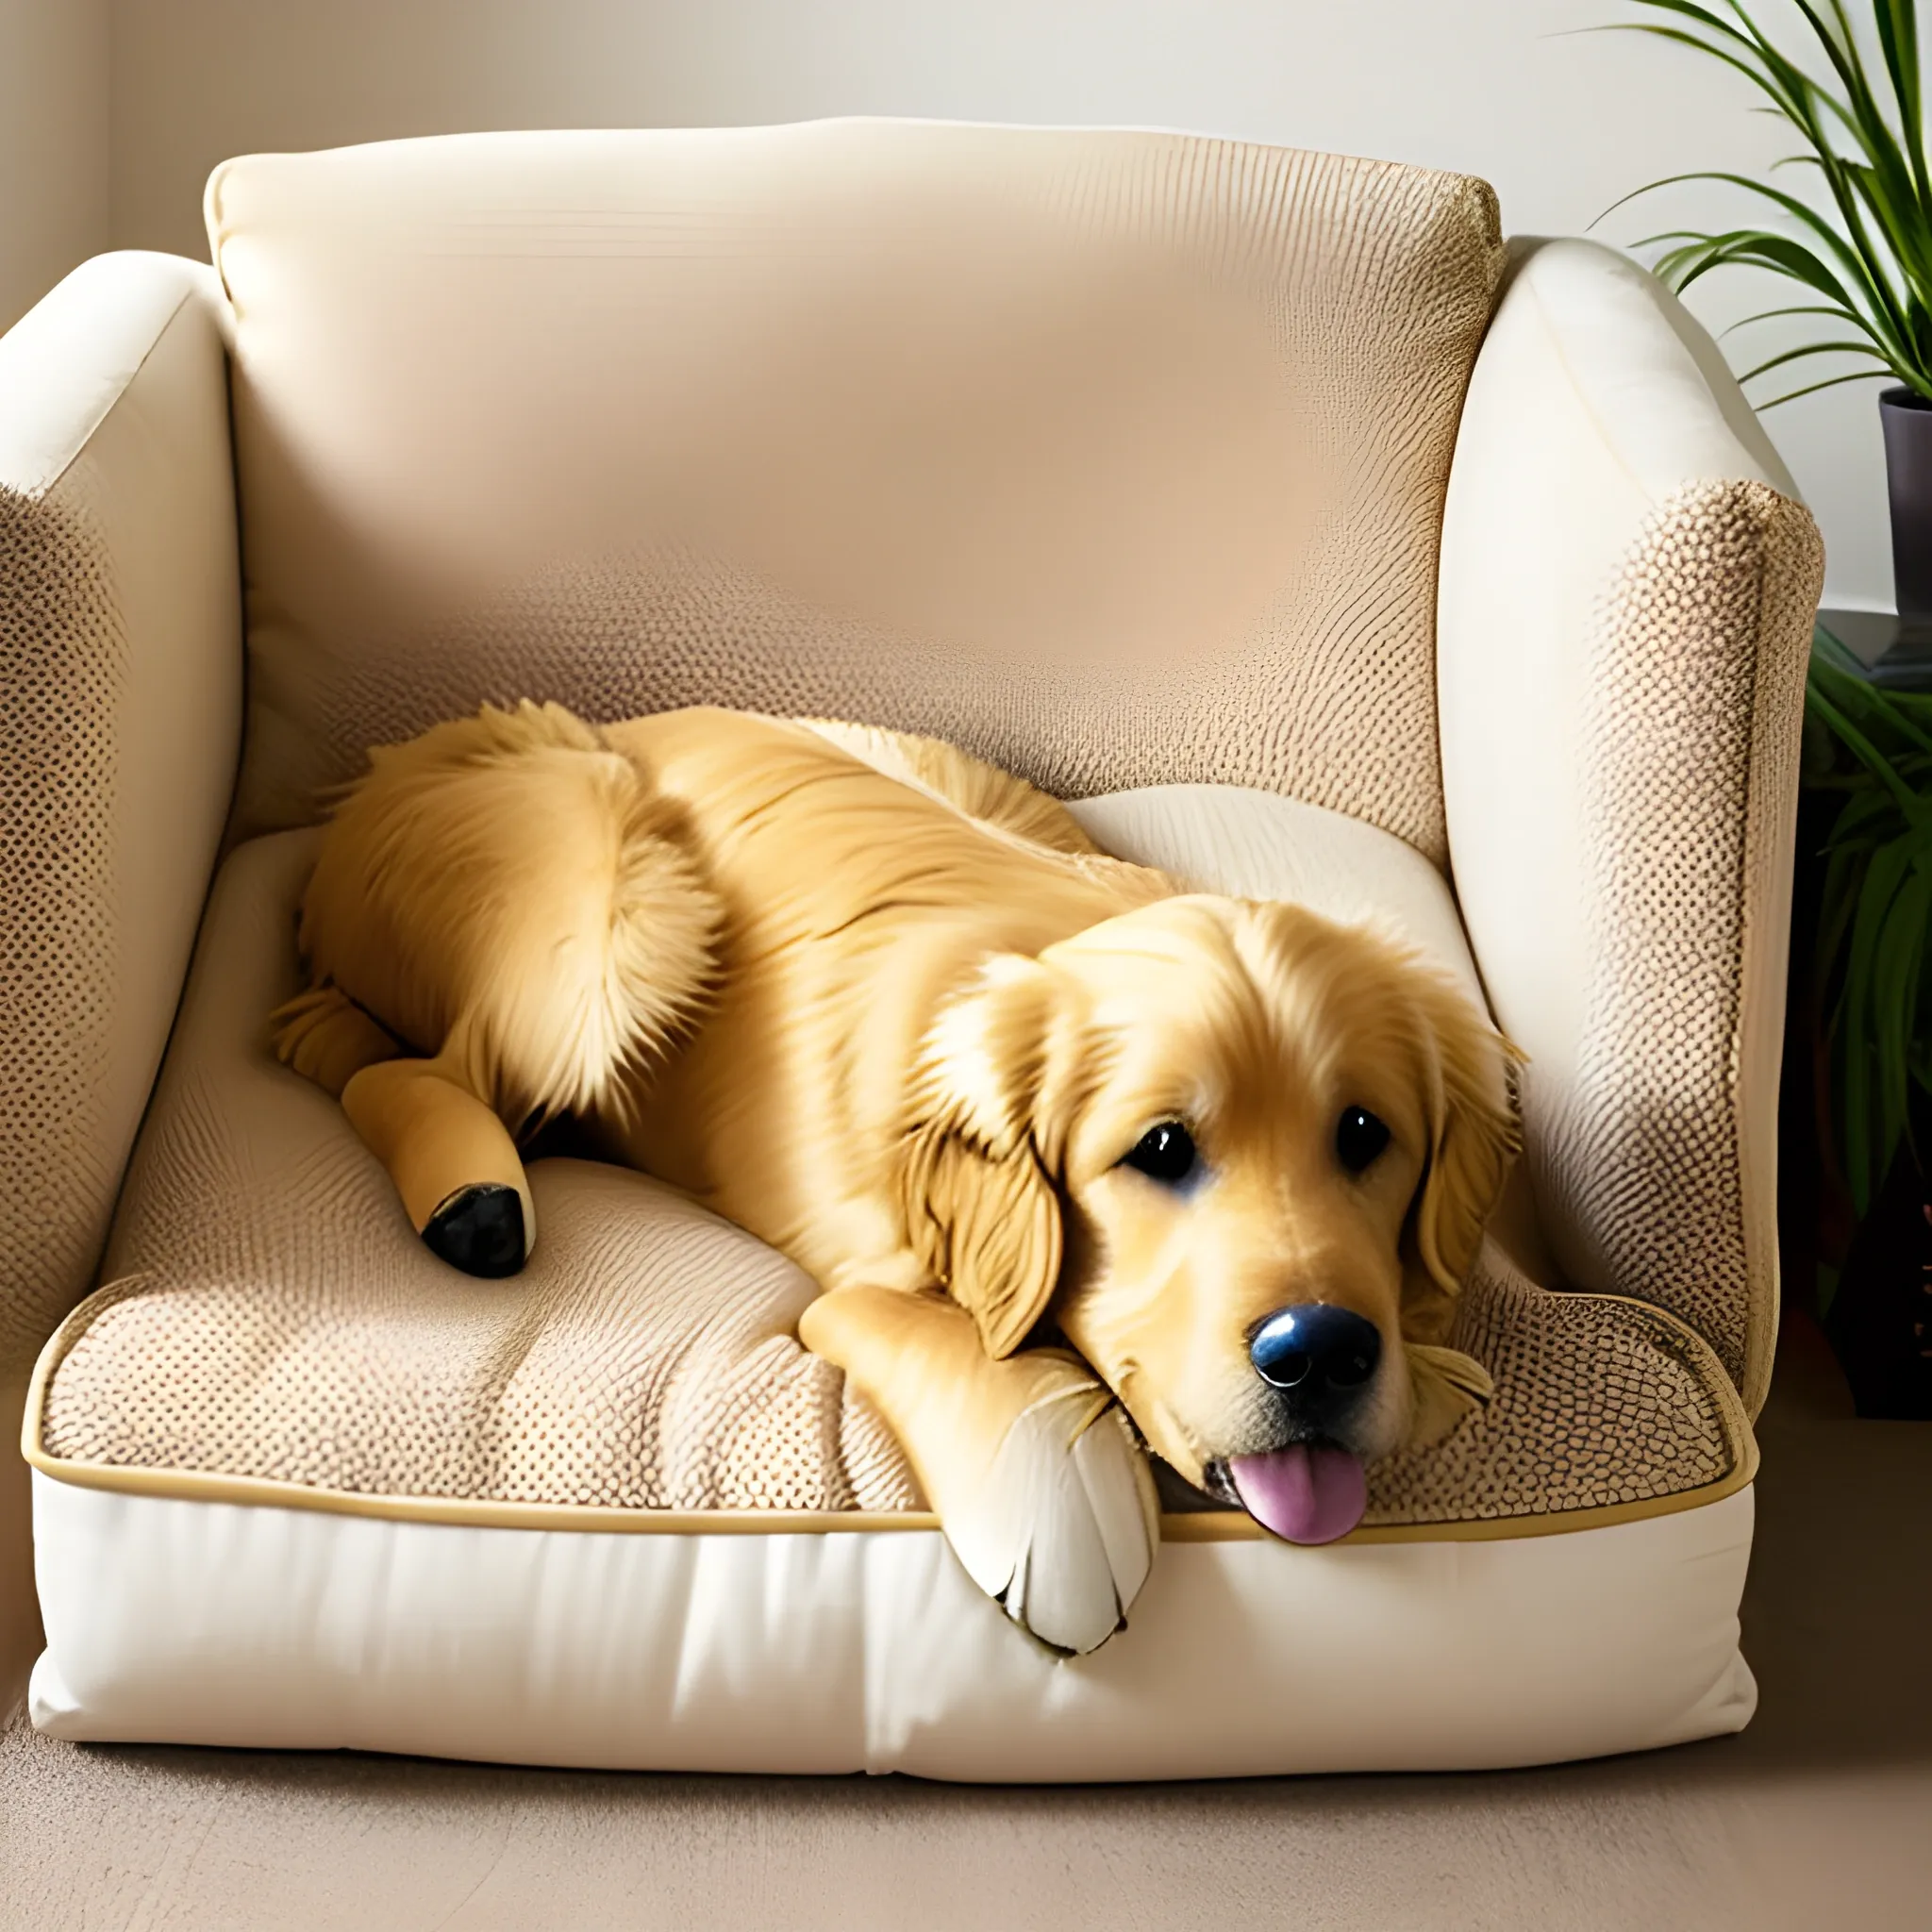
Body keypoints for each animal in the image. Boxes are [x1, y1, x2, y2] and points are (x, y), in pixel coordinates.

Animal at [275, 703, 1507, 1654]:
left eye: (1363, 1133)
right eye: (1159, 1149)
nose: (1324, 1351)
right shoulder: (854, 1278)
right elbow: (969, 1345)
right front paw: (1061, 1517)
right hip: (610, 888)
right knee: (403, 1066)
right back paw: (475, 1199)